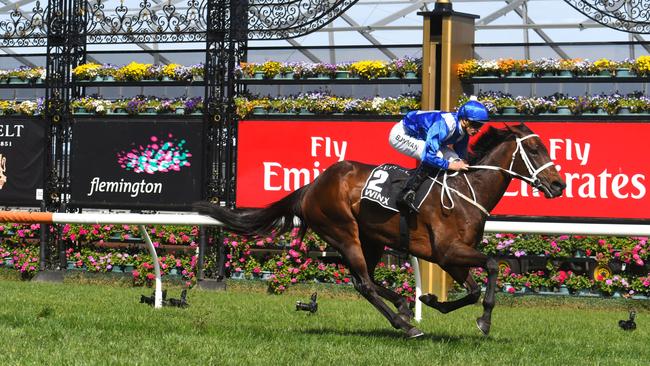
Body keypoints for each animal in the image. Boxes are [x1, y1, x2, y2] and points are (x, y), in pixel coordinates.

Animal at [195, 122, 564, 338]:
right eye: (534, 150)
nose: (559, 185)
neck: (465, 193)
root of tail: (313, 185)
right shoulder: (448, 251)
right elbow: (491, 265)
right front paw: (484, 321)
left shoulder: (450, 258)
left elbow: (473, 289)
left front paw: (432, 300)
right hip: (344, 232)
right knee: (364, 284)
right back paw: (405, 325)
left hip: (370, 239)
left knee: (366, 279)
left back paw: (403, 305)